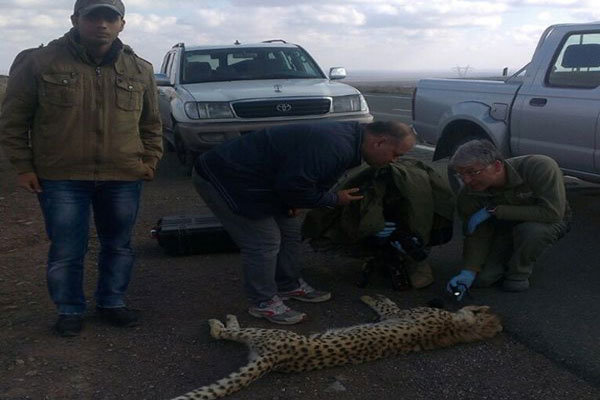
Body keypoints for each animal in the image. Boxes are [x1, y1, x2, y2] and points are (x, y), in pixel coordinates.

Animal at [172, 296, 502, 398]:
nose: (478, 304)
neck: (461, 329)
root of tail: (275, 359)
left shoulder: (397, 313)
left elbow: (385, 303)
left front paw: (369, 294)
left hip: (265, 333)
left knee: (225, 333)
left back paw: (221, 320)